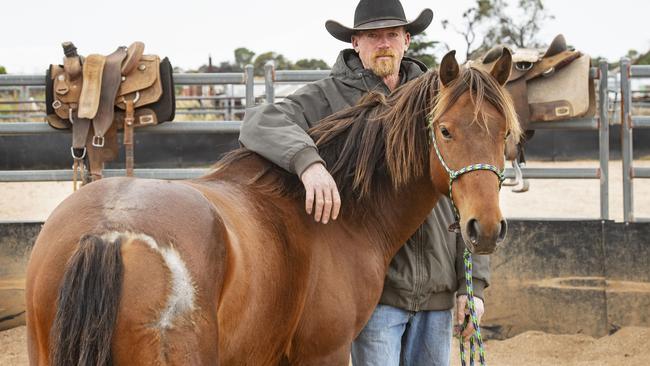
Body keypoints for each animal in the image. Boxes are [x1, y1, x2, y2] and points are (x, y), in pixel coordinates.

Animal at [25, 49, 520, 366]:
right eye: (445, 130)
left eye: (505, 134)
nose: (485, 229)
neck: (347, 215)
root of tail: (109, 233)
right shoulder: (325, 353)